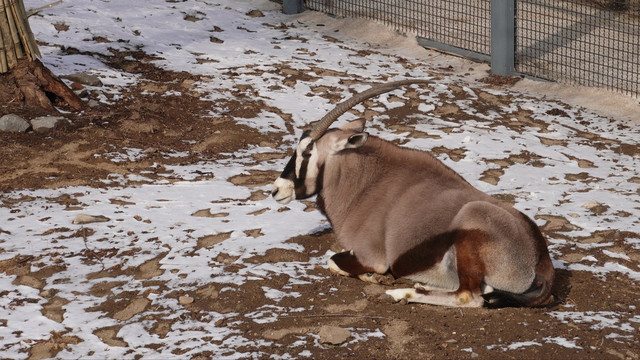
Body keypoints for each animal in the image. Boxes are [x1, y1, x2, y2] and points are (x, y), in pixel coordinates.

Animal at [270, 79, 556, 306]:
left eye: (307, 153)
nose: (276, 190)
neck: (366, 184)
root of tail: (541, 260)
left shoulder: (372, 256)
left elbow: (333, 261)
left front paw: (372, 277)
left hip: (471, 225)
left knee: (469, 296)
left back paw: (403, 293)